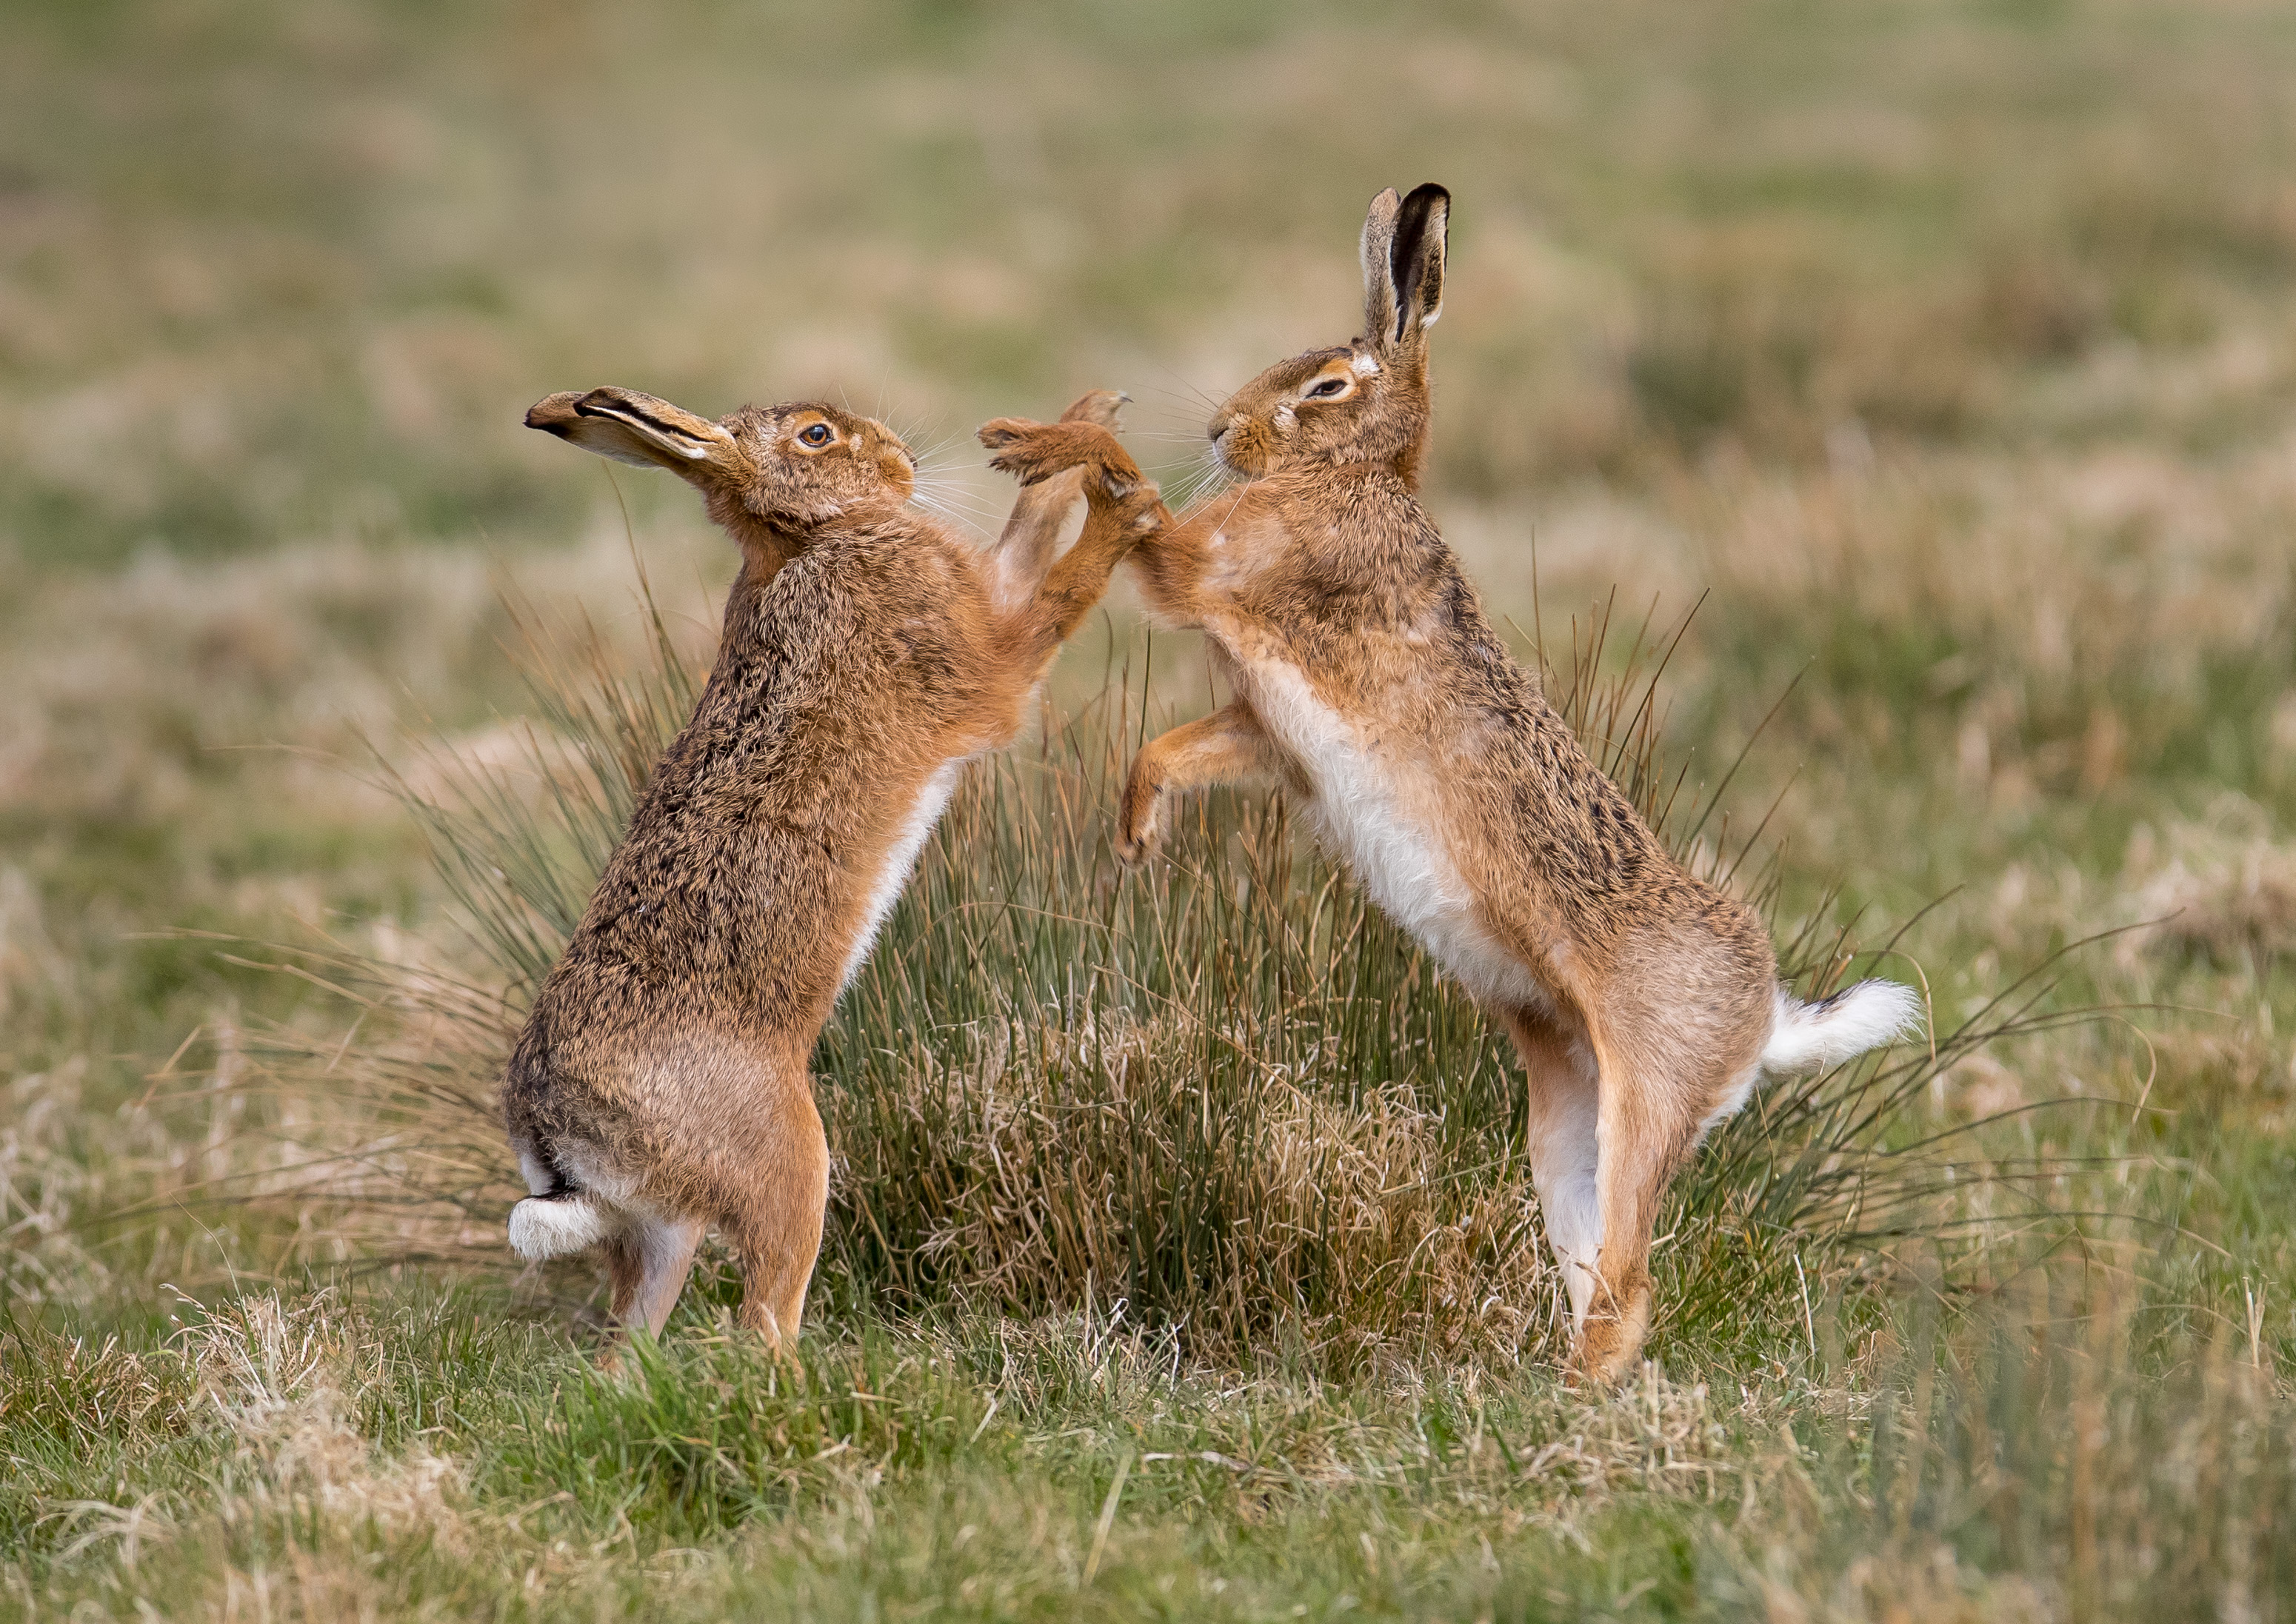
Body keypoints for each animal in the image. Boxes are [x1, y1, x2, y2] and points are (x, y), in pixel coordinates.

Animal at [505, 383, 1158, 1351]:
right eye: (818, 436)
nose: (903, 463)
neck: (809, 540)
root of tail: (556, 1138)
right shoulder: (987, 654)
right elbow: (1058, 591)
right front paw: (1126, 513)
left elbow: (1028, 528)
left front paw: (1084, 419)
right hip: (790, 1162)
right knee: (764, 1320)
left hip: (664, 1229)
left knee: (630, 1344)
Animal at [980, 185, 1921, 1385]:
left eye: (1328, 387)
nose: (1224, 430)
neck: (1353, 477)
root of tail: (1765, 1023)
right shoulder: (1270, 736)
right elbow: (1178, 747)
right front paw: (1137, 835)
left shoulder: (1215, 573)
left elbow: (1136, 496)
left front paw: (1031, 442)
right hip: (1565, 1121)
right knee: (1592, 1265)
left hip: (1649, 1098)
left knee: (1631, 1285)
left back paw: (1569, 1403)